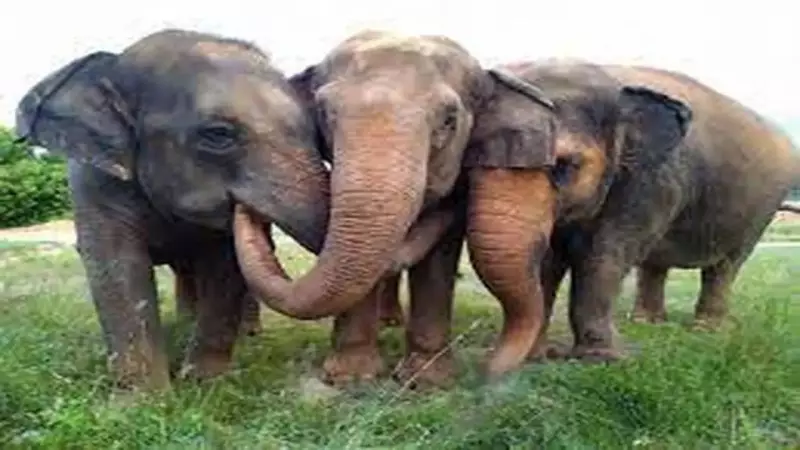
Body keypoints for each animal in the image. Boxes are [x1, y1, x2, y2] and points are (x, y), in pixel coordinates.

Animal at [13, 29, 332, 391]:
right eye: (218, 134)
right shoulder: (93, 181)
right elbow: (115, 261)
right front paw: (147, 398)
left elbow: (225, 262)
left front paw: (203, 384)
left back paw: (244, 335)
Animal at [231, 30, 551, 387]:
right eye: (324, 113)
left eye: (449, 120)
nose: (245, 207)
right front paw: (351, 378)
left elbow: (438, 259)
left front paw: (426, 382)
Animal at [460, 60, 800, 377]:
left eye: (563, 165)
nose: (485, 372)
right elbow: (548, 259)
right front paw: (537, 357)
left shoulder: (652, 181)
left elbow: (604, 255)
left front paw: (600, 360)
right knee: (656, 264)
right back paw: (647, 323)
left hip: (761, 209)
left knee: (726, 266)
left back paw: (707, 329)